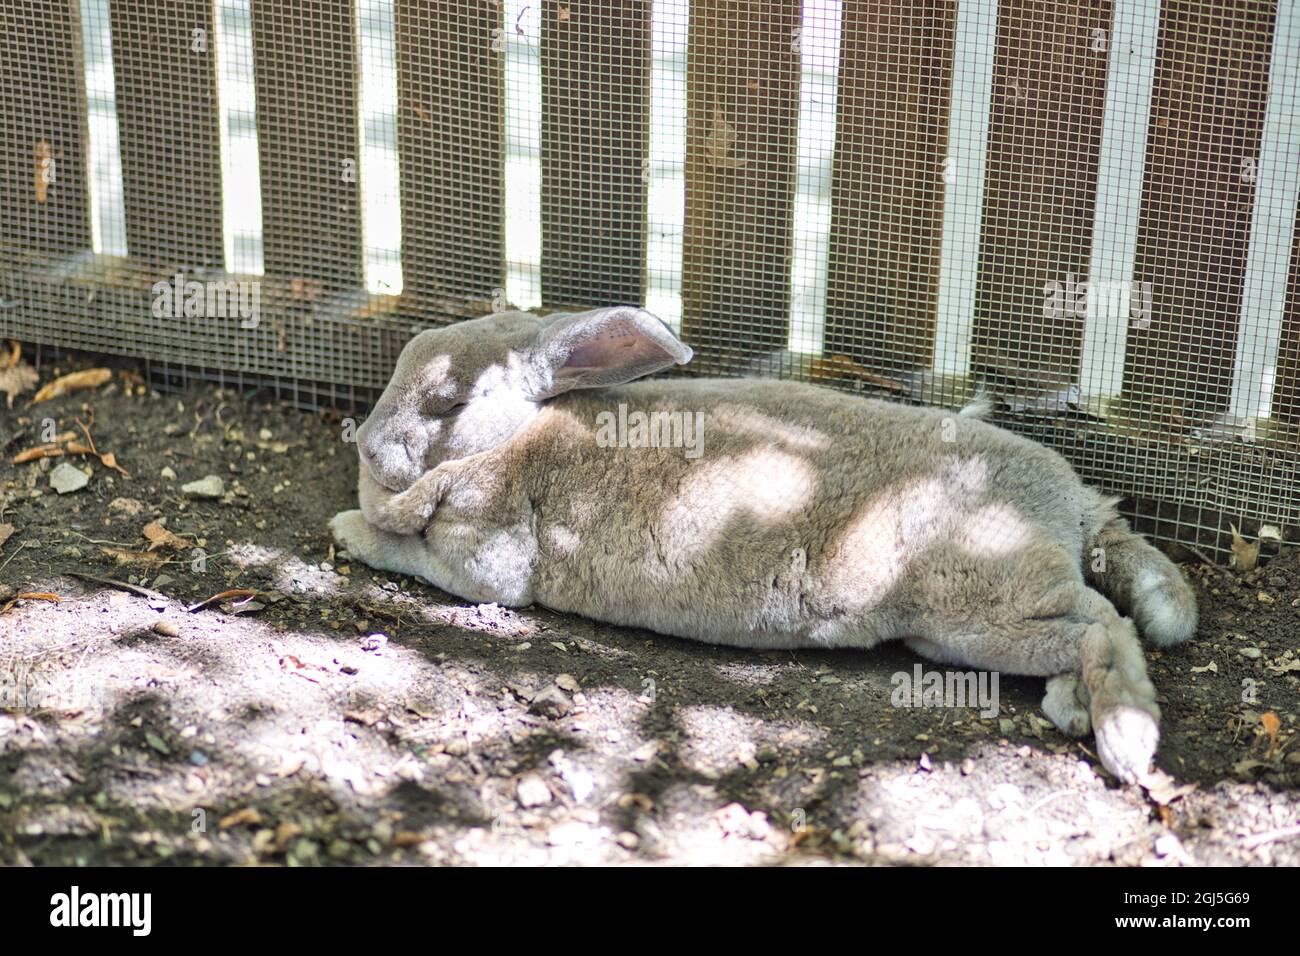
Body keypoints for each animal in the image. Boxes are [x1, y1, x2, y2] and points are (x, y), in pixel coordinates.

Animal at [332, 306, 1196, 785]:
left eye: (447, 401)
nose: (369, 445)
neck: (514, 436)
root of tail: (1076, 506)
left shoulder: (486, 560)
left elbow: (407, 550)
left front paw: (347, 529)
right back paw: (1071, 706)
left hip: (980, 610)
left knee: (1104, 627)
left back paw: (1122, 738)